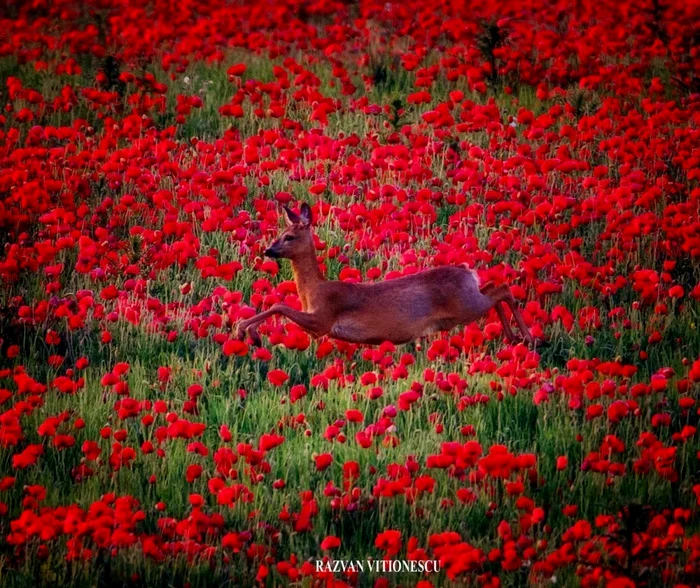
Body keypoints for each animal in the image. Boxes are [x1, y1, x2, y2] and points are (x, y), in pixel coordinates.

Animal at [235, 203, 536, 346]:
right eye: (278, 233)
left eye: (289, 236)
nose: (268, 250)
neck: (314, 291)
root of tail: (470, 273)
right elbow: (279, 305)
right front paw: (249, 333)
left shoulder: (323, 321)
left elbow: (279, 304)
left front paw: (245, 332)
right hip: (469, 301)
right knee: (496, 288)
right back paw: (515, 337)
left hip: (466, 305)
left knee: (503, 289)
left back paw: (529, 337)